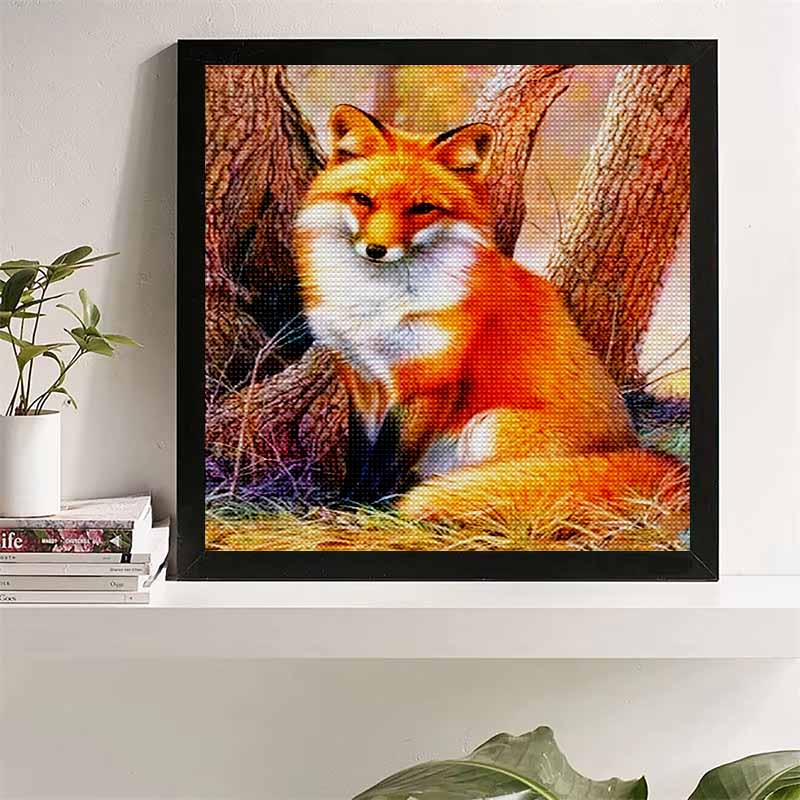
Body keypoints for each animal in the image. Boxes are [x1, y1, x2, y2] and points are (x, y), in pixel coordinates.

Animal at [293, 104, 688, 524]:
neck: (375, 302)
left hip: (490, 426)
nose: (376, 250)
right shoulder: (362, 379)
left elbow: (386, 459)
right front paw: (345, 501)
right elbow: (360, 455)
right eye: (363, 199)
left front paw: (365, 509)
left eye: (422, 208)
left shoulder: (430, 382)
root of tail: (632, 449)